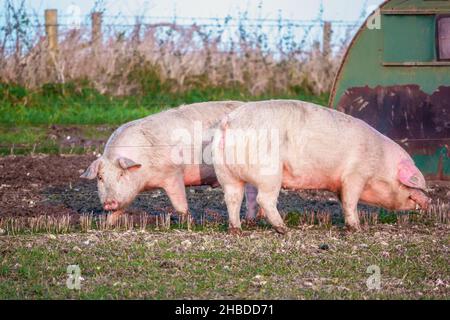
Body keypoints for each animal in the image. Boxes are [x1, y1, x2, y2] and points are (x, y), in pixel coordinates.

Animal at [213, 99, 430, 234]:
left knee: (232, 198)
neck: (381, 165)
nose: (429, 201)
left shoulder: (340, 184)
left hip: (226, 173)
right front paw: (357, 228)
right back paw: (283, 229)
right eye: (411, 183)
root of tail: (229, 122)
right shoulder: (356, 175)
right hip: (269, 173)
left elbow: (343, 201)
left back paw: (236, 230)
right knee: (264, 199)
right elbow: (351, 201)